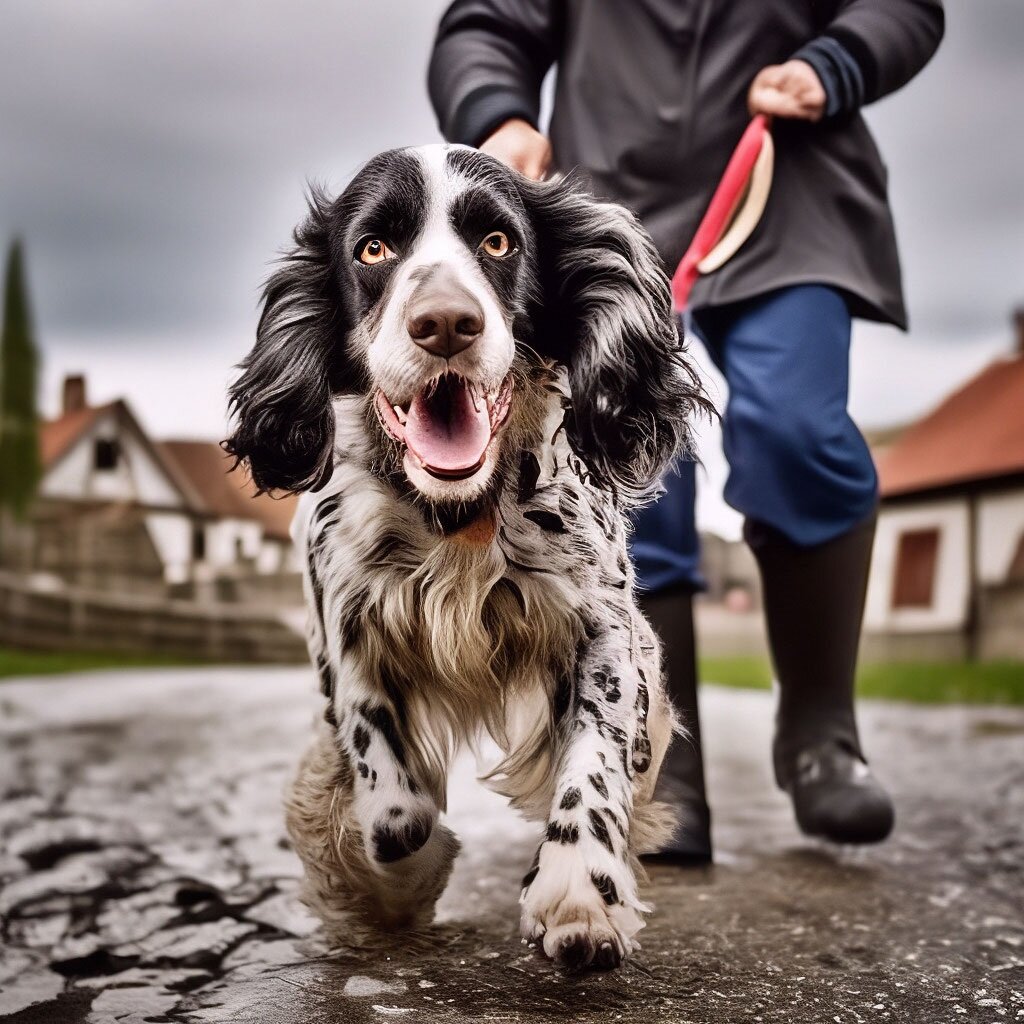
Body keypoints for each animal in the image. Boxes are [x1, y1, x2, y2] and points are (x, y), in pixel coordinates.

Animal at [225, 144, 708, 966]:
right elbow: (394, 812)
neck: (457, 519)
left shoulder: (603, 626)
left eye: (498, 241)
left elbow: (595, 760)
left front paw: (581, 891)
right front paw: (400, 882)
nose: (445, 322)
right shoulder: (347, 628)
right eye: (373, 249)